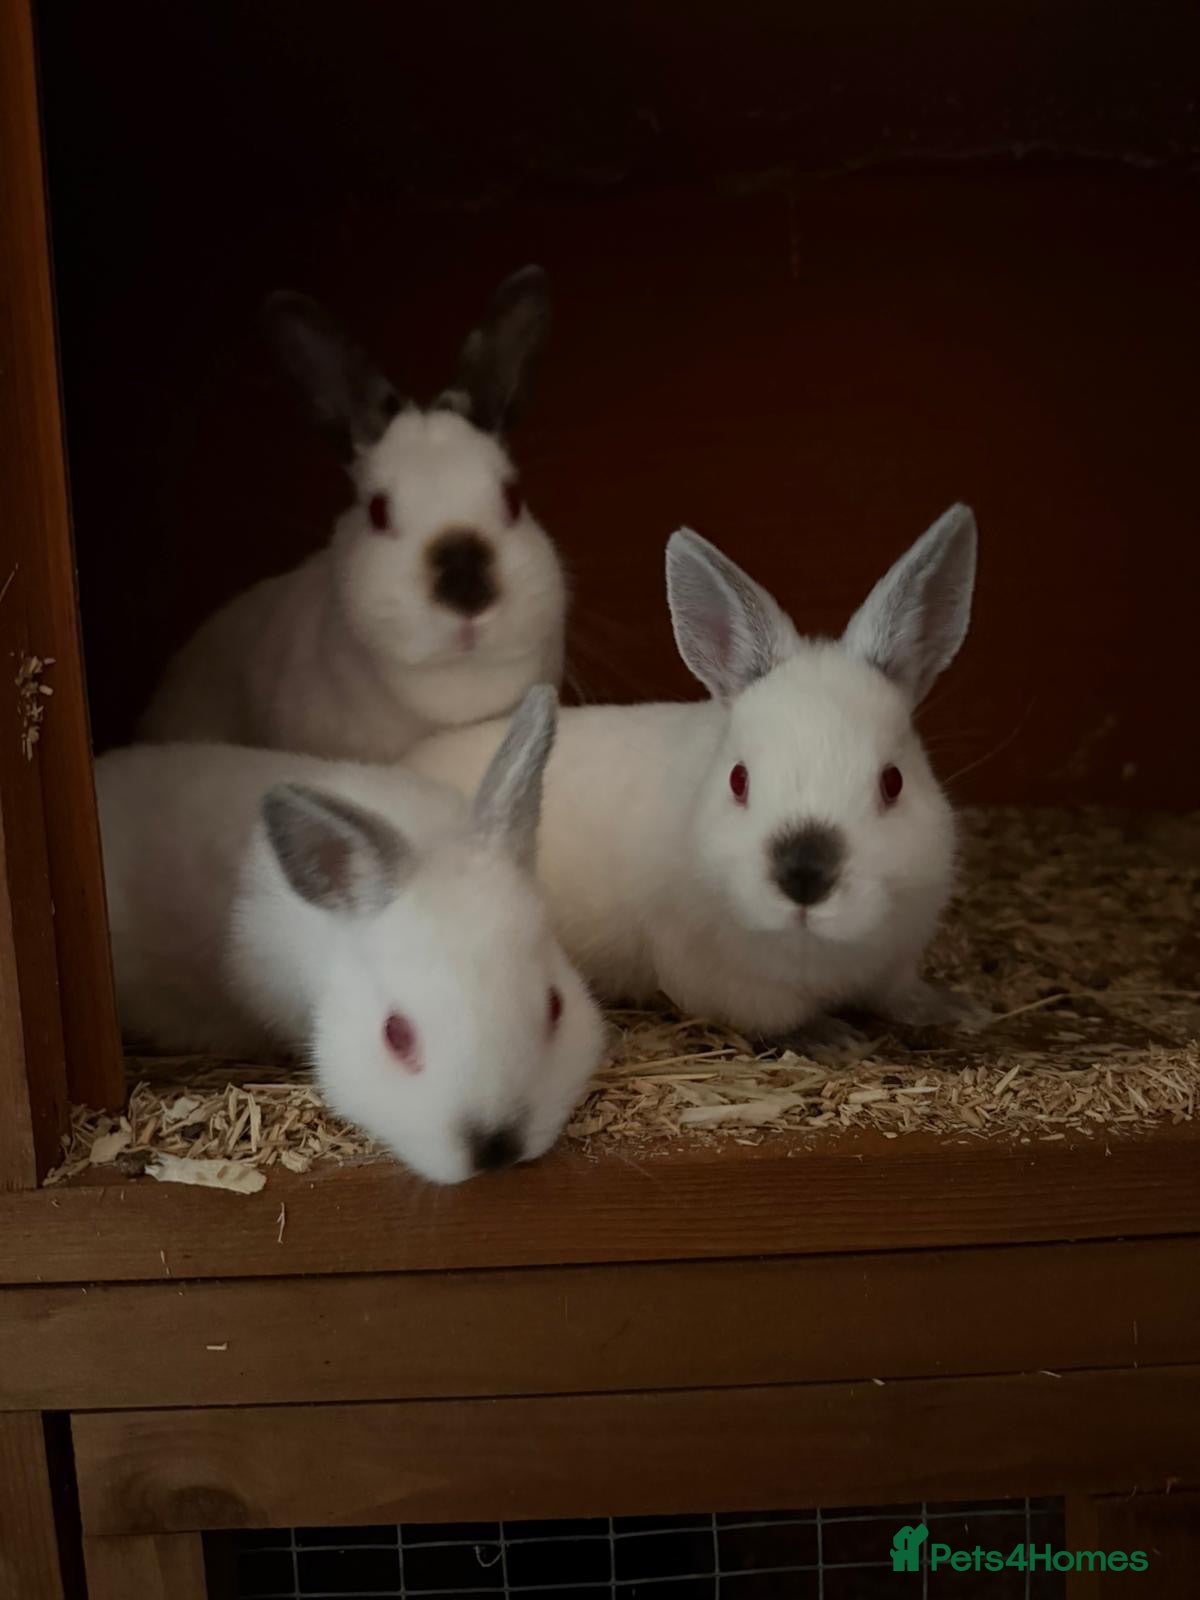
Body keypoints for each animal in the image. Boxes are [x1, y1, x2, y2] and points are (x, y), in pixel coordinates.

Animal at [405, 505, 983, 1041]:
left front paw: (955, 1009)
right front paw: (834, 1038)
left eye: (893, 781)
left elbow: (898, 992)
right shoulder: (724, 982)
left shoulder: (895, 961)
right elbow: (779, 1021)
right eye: (738, 779)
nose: (804, 874)